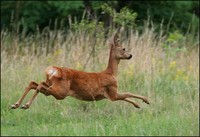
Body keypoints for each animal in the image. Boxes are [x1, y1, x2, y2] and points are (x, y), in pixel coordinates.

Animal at [10, 32, 148, 109]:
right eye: (124, 48)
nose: (130, 55)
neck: (111, 73)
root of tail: (53, 70)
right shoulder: (112, 91)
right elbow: (128, 93)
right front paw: (145, 100)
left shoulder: (110, 95)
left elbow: (126, 96)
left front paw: (138, 105)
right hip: (61, 92)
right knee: (39, 85)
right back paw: (25, 105)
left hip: (52, 86)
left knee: (34, 83)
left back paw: (16, 105)